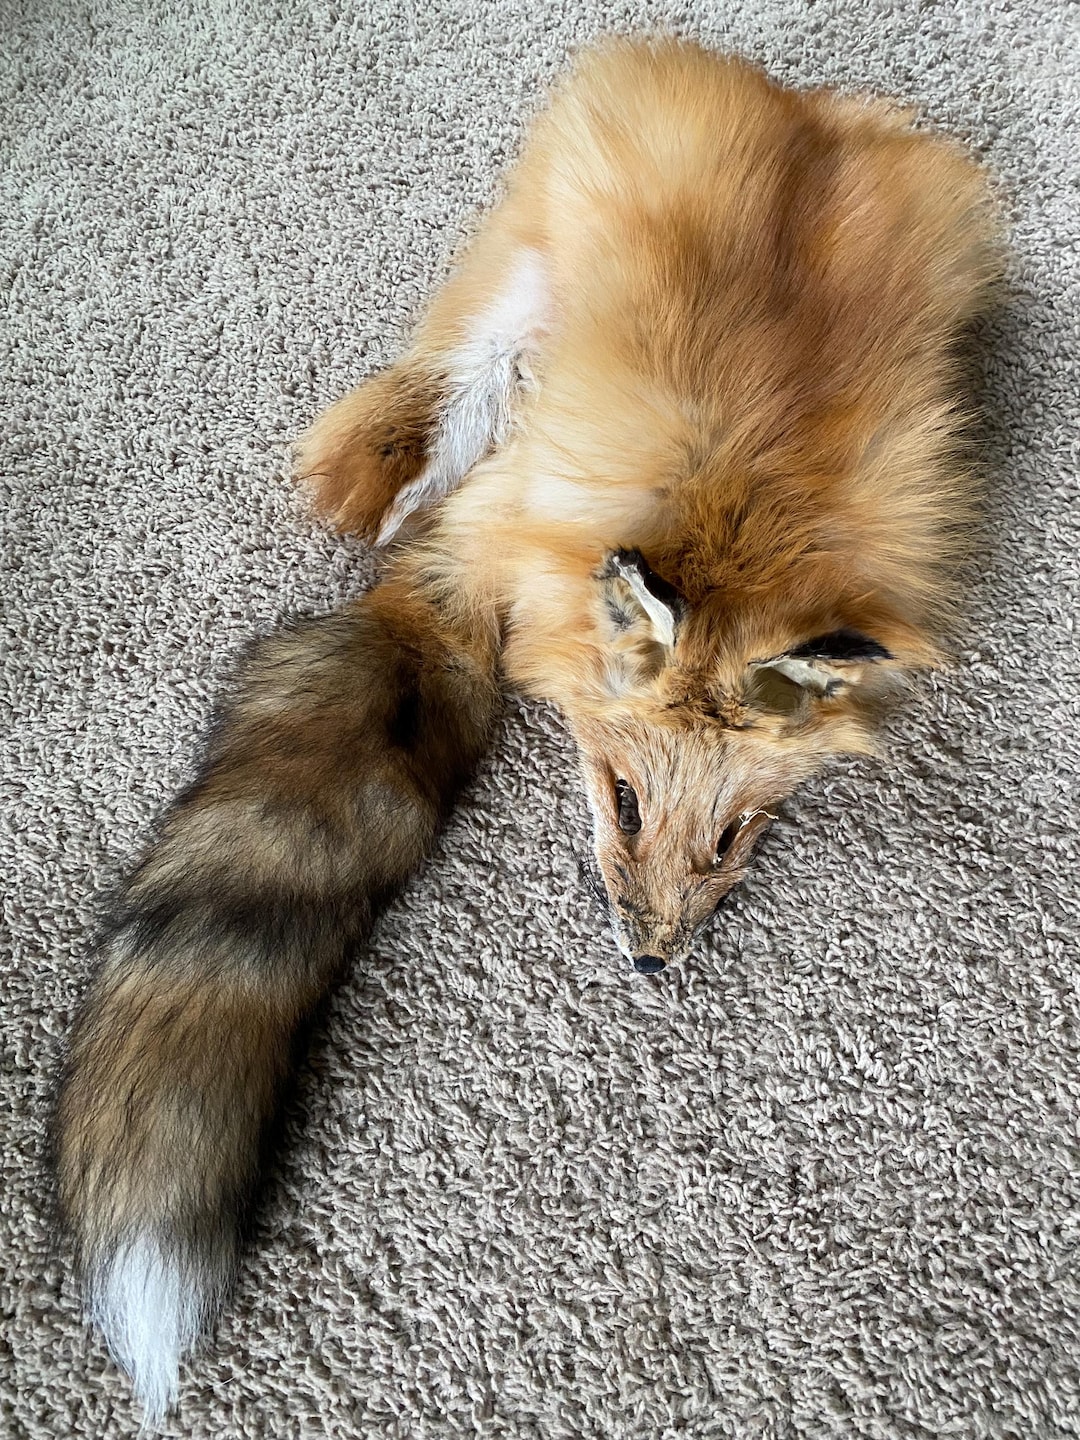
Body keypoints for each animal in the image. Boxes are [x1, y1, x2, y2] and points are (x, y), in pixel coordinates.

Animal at [54, 37, 999, 1424]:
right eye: (622, 802)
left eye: (732, 839)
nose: (651, 966)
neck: (739, 515)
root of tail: (802, 105)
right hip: (523, 273)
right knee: (446, 387)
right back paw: (382, 463)